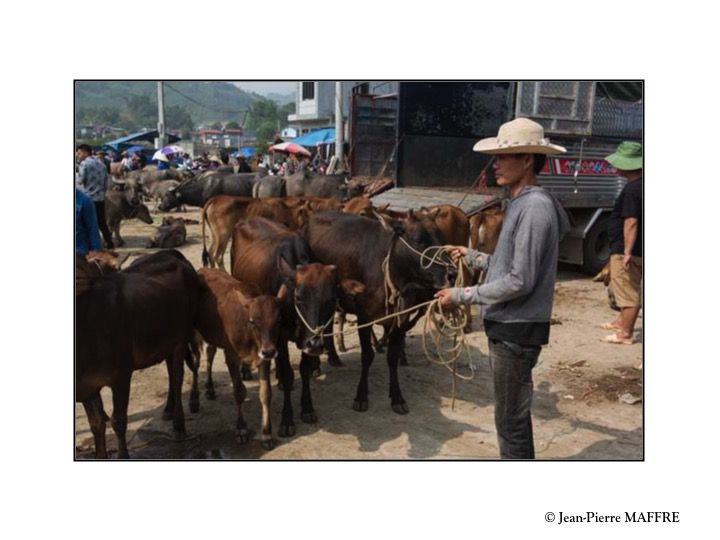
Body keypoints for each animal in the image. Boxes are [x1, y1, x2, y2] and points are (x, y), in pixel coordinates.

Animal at [76, 251, 201, 458]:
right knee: (170, 372)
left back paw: (179, 425)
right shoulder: (87, 386)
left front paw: (123, 456)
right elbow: (96, 425)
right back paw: (168, 409)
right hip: (167, 341)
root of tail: (175, 254)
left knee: (177, 377)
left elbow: (119, 422)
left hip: (182, 338)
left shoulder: (121, 377)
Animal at [197, 268, 290, 450]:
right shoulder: (232, 357)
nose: (269, 351)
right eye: (253, 321)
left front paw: (266, 434)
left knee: (210, 353)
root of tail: (204, 269)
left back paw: (210, 388)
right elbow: (239, 392)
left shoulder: (263, 358)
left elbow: (265, 393)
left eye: (279, 320)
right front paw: (241, 429)